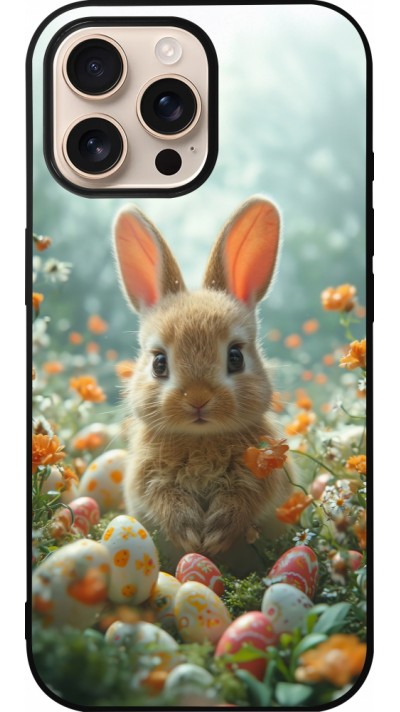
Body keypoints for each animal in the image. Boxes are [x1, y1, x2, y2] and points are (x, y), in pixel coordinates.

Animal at [113, 197, 293, 574]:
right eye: (159, 363)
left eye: (235, 357)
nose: (197, 399)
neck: (200, 438)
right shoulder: (148, 478)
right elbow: (164, 500)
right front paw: (191, 535)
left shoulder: (262, 474)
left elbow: (243, 500)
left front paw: (215, 535)